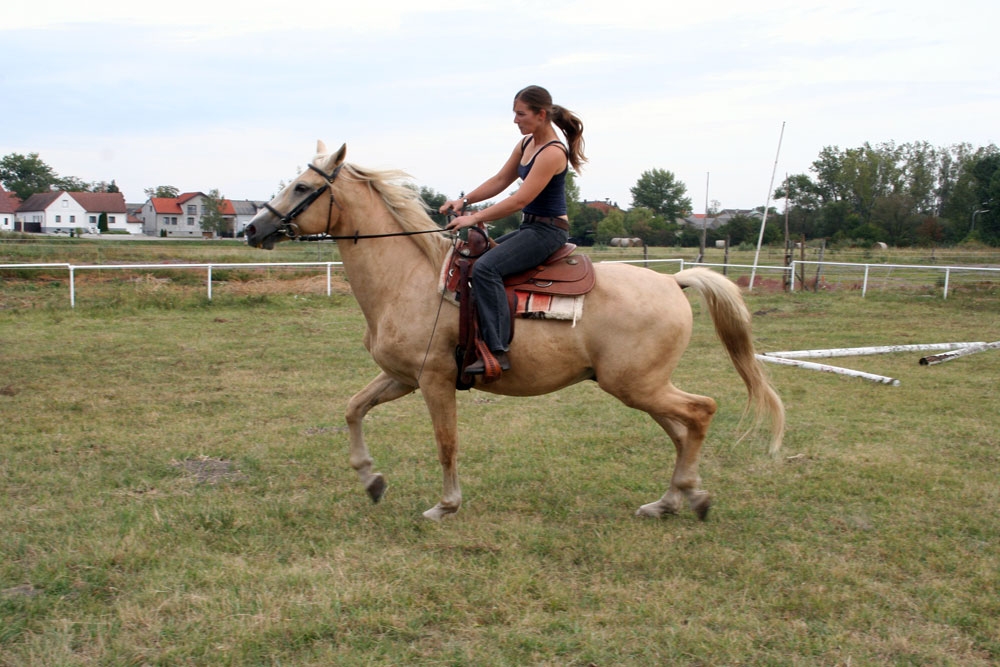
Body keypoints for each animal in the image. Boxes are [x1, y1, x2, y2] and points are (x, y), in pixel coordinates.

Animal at [246, 144, 784, 524]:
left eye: (301, 188)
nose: (253, 228)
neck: (410, 279)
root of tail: (674, 281)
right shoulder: (402, 378)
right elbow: (353, 408)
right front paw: (370, 479)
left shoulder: (436, 381)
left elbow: (446, 442)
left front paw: (446, 504)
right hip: (640, 388)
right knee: (681, 430)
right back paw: (672, 500)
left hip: (638, 385)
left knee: (700, 412)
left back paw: (688, 495)